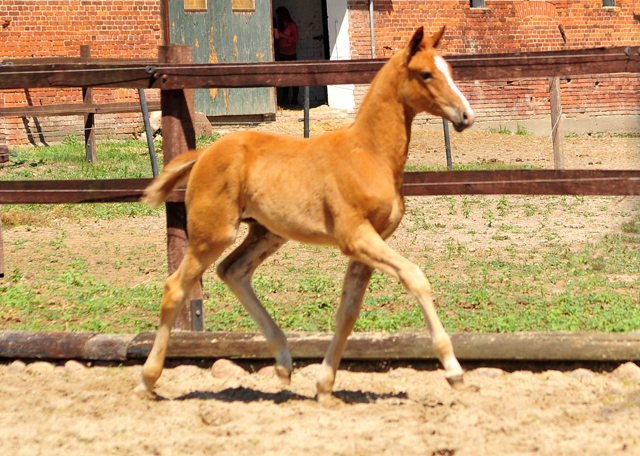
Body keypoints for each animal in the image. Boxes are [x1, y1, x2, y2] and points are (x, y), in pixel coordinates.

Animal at [136, 25, 476, 400]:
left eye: (449, 70)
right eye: (426, 74)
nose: (466, 116)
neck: (369, 153)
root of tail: (204, 153)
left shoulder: (368, 243)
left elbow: (348, 311)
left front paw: (324, 384)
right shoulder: (355, 236)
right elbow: (415, 277)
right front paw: (453, 370)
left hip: (267, 233)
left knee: (233, 271)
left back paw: (284, 362)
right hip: (213, 233)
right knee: (175, 288)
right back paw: (147, 380)